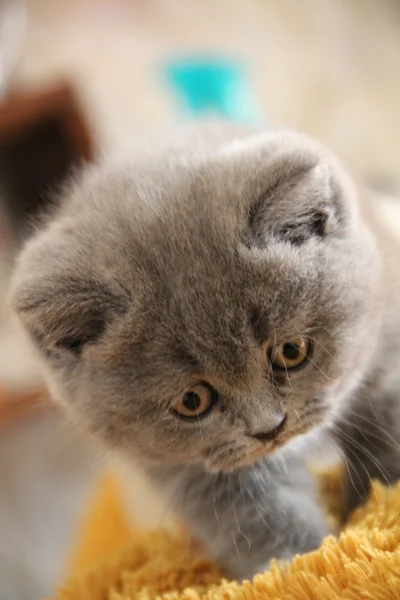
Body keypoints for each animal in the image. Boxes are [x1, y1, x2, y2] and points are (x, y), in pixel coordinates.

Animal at [8, 124, 400, 580]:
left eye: (291, 351)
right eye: (192, 401)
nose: (269, 429)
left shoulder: (384, 350)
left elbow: (383, 444)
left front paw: (371, 512)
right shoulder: (188, 468)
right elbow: (255, 514)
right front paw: (295, 564)